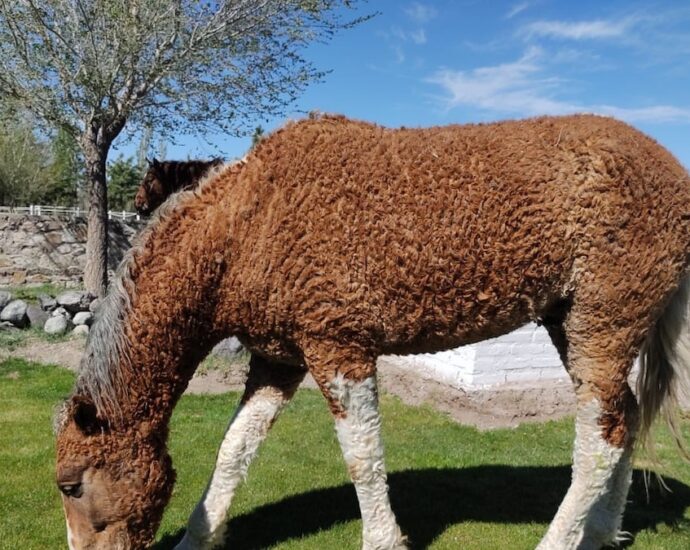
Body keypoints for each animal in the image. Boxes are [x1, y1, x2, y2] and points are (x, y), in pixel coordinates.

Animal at [55, 113, 690, 550]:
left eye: (70, 486)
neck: (248, 224)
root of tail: (675, 176)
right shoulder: (278, 361)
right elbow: (235, 448)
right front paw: (197, 537)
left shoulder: (339, 349)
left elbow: (361, 455)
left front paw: (383, 539)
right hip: (572, 322)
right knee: (625, 420)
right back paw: (603, 532)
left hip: (600, 322)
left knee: (601, 435)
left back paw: (561, 540)